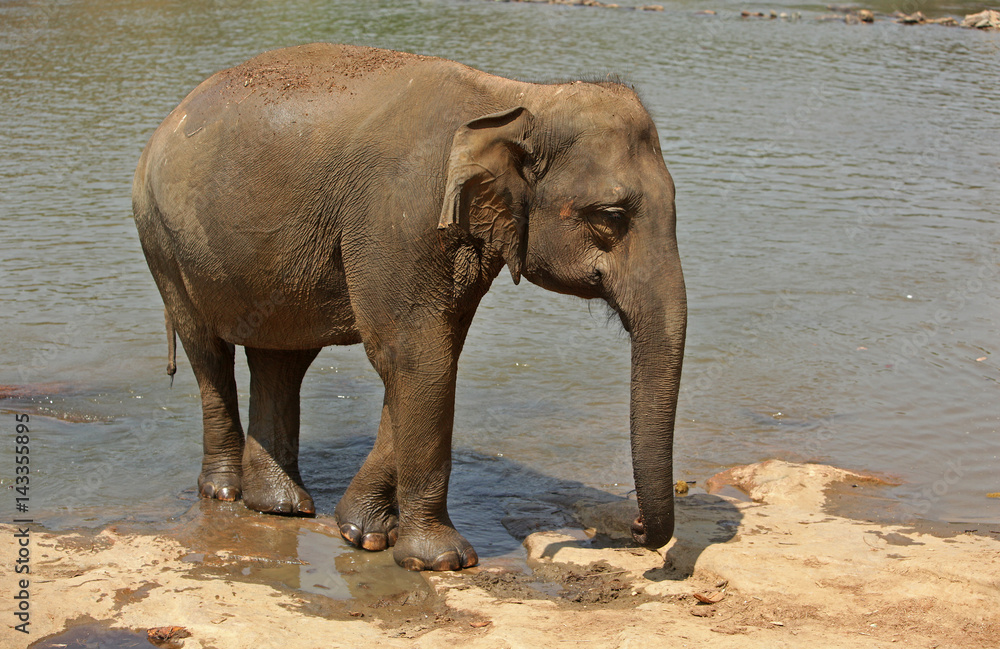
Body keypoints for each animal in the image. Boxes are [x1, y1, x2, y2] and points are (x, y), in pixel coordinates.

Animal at [132, 43, 686, 571]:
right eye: (611, 216)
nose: (635, 526)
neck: (515, 98)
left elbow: (424, 358)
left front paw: (364, 533)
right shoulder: (398, 216)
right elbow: (419, 357)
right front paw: (440, 561)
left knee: (281, 360)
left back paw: (280, 506)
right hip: (161, 238)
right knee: (208, 352)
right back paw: (225, 493)